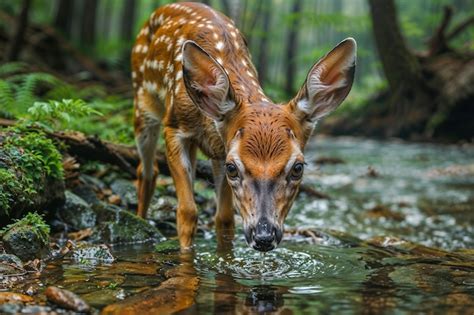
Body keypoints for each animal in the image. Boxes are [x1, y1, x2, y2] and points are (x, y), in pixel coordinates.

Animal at [131, 1, 356, 252]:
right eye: (233, 168)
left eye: (298, 168)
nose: (264, 236)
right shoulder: (175, 127)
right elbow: (187, 212)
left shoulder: (220, 150)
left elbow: (225, 218)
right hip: (143, 106)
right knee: (146, 171)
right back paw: (140, 221)